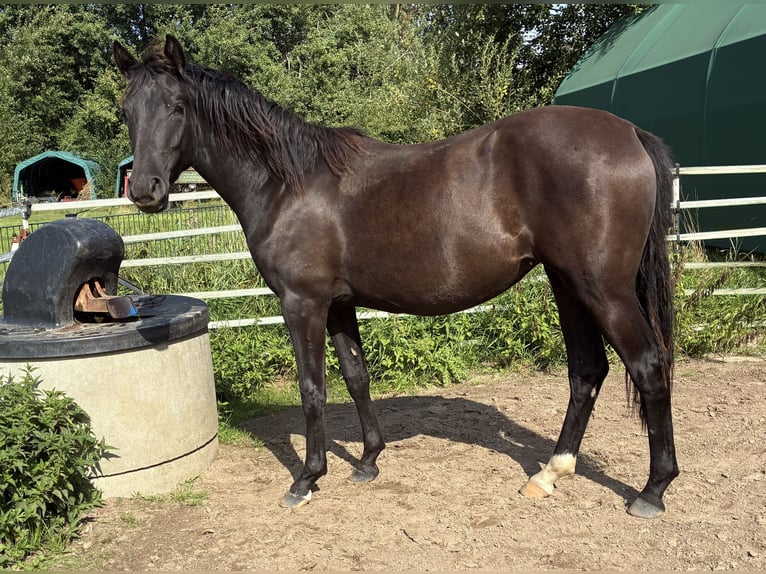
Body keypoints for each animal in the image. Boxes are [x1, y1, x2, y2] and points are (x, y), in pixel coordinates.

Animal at [114, 35, 678, 519]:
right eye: (126, 110)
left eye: (177, 107)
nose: (144, 191)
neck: (287, 183)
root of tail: (628, 132)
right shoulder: (340, 304)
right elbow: (356, 376)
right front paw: (368, 461)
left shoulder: (302, 302)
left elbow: (313, 386)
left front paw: (306, 479)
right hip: (568, 286)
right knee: (587, 370)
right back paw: (550, 474)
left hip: (602, 289)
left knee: (648, 366)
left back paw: (652, 490)